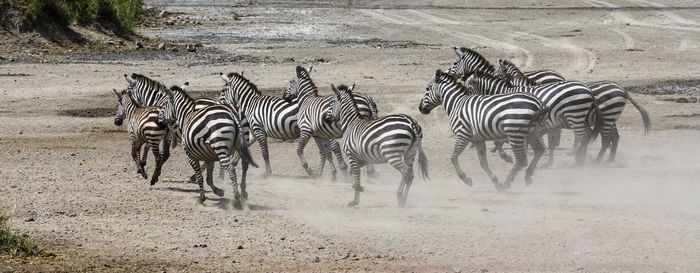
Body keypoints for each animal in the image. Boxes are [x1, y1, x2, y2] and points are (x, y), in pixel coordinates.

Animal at [418, 69, 548, 190]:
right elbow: (483, 163)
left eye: (427, 88)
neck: (456, 104)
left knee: (521, 159)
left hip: (515, 133)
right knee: (539, 150)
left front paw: (466, 179)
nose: (420, 108)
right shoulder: (477, 140)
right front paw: (496, 182)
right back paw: (527, 176)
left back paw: (507, 182)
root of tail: (538, 103)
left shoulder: (462, 134)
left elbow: (453, 158)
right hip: (533, 132)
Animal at [464, 70, 600, 165]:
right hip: (580, 117)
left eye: (468, 89)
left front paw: (507, 157)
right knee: (587, 134)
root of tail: (587, 88)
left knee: (582, 136)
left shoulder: (513, 120)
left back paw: (579, 158)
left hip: (575, 115)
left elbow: (500, 141)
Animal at [498, 58, 652, 163]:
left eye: (497, 71)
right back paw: (608, 159)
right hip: (610, 117)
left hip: (606, 116)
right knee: (614, 137)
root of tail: (622, 89)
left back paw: (597, 159)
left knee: (605, 138)